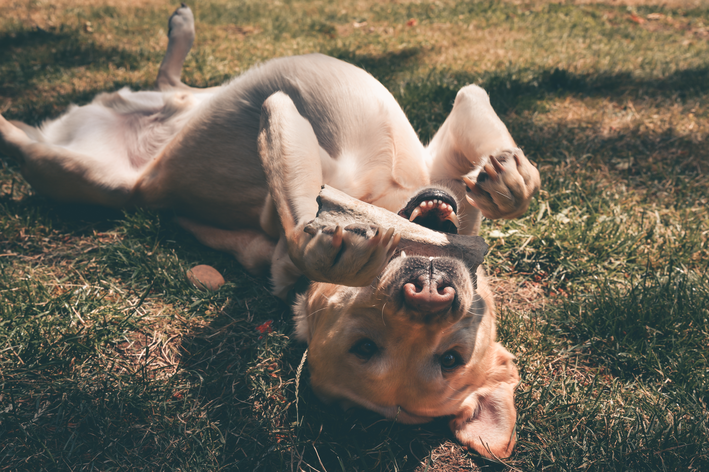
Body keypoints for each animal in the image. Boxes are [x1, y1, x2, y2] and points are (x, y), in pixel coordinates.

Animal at [0, 3, 540, 460]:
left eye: (449, 357)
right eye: (366, 347)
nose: (430, 294)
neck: (389, 199)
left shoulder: (282, 140)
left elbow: (297, 223)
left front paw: (327, 250)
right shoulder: (444, 150)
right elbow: (483, 125)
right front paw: (510, 181)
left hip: (84, 175)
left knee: (20, 136)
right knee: (171, 81)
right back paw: (181, 29)